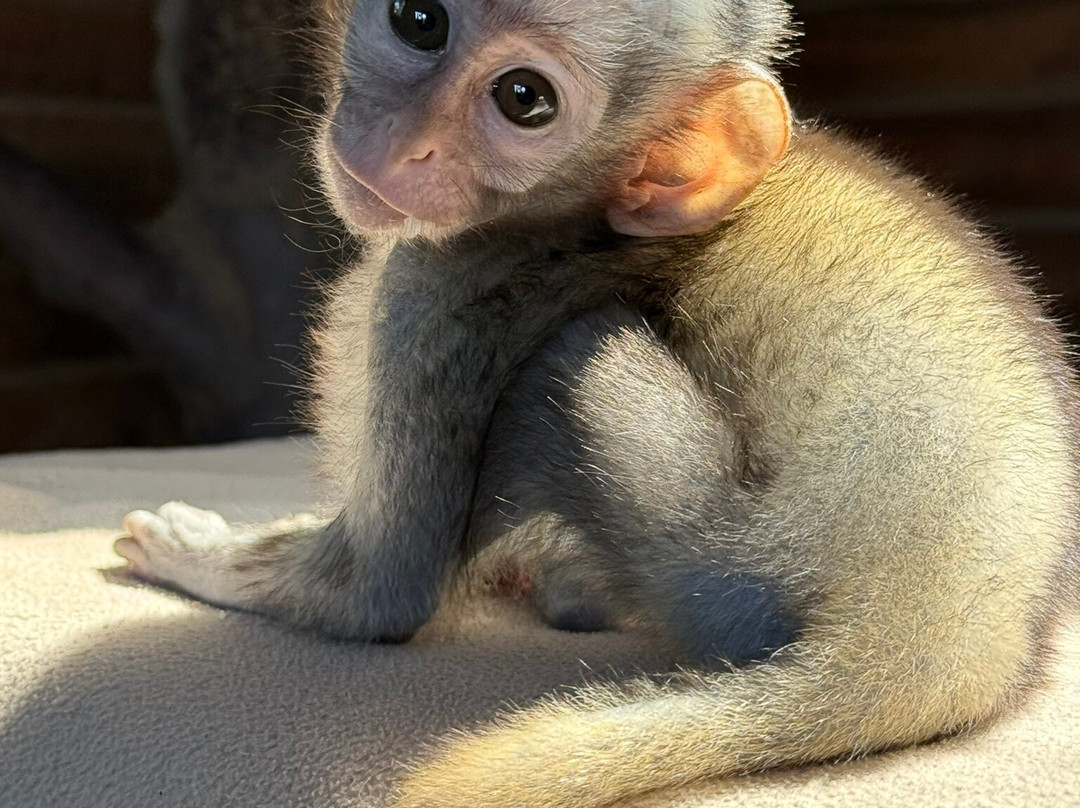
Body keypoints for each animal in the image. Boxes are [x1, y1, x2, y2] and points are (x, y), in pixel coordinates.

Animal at [113, 0, 1080, 807]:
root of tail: (938, 643)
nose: (407, 144)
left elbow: (381, 594)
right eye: (419, 19)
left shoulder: (442, 292)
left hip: (725, 567)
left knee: (571, 357)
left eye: (525, 100)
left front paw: (198, 554)